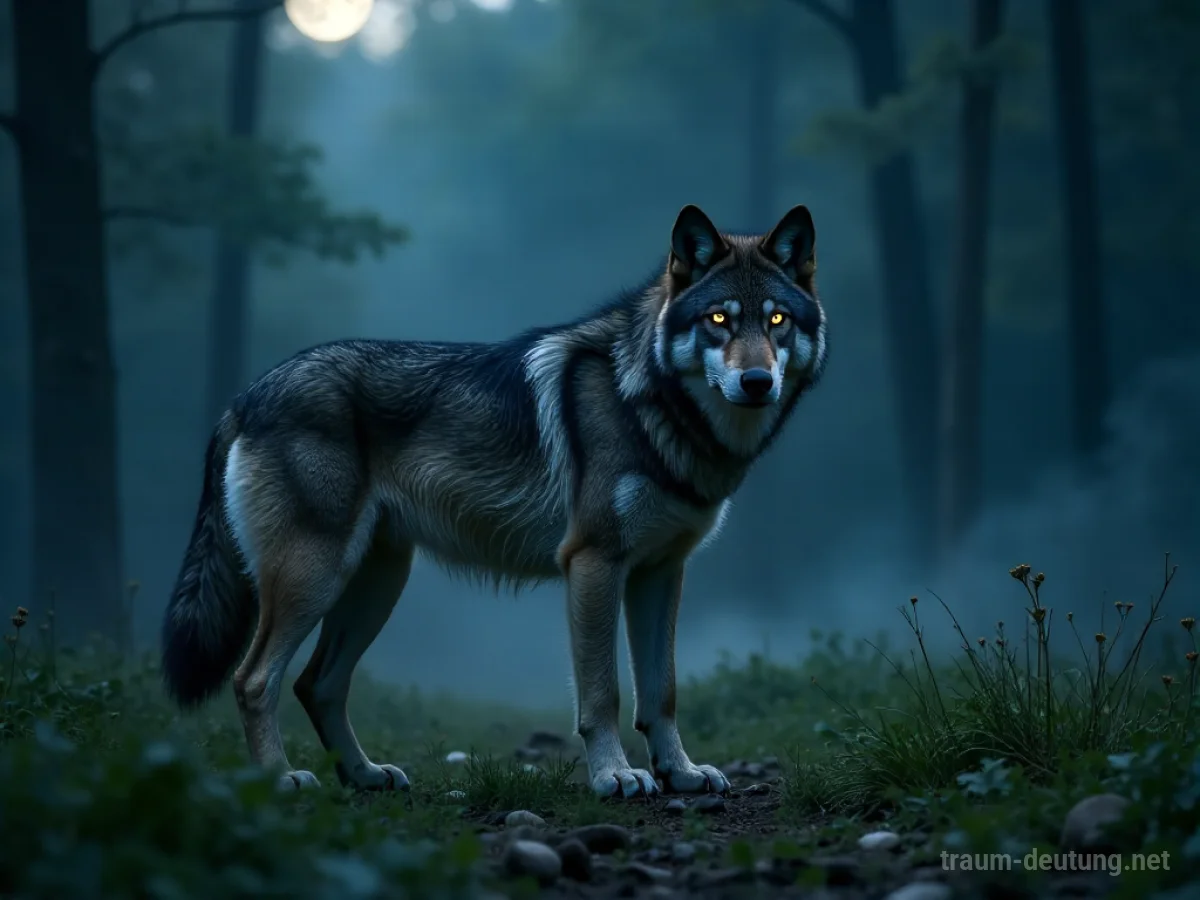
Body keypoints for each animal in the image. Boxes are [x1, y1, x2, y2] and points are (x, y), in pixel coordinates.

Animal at [161, 203, 827, 798]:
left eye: (776, 321)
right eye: (718, 318)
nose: (757, 383)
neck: (654, 406)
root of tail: (247, 393)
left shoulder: (661, 572)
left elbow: (661, 692)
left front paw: (682, 774)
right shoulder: (593, 563)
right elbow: (603, 693)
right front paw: (615, 777)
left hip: (376, 583)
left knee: (317, 684)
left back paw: (365, 775)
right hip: (315, 577)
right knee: (254, 680)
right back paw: (279, 780)